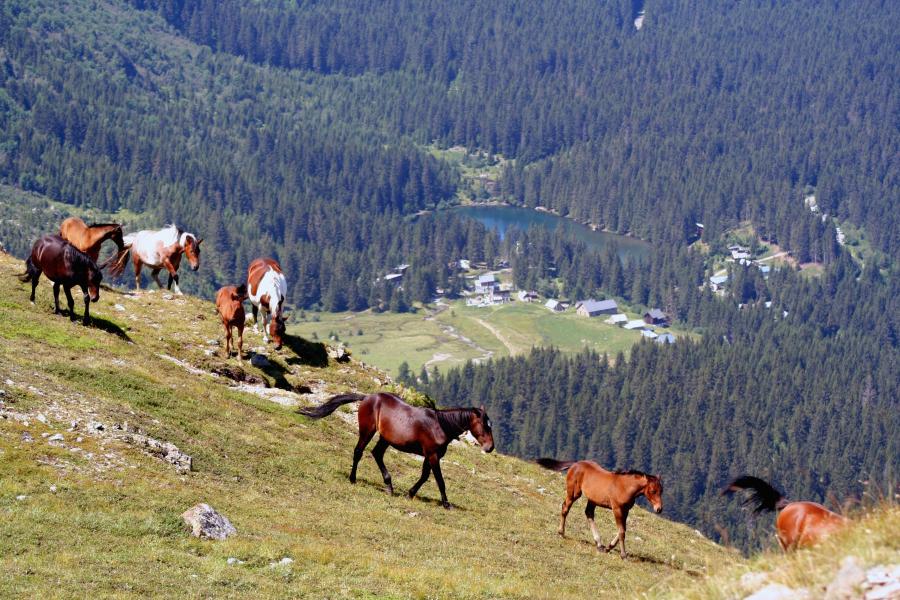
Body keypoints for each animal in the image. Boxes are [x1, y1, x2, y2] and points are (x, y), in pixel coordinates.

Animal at [298, 392, 495, 509]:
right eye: (484, 425)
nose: (490, 447)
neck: (440, 425)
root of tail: (367, 397)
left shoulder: (429, 456)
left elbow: (424, 476)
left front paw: (410, 493)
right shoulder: (433, 455)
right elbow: (439, 480)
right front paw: (446, 504)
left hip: (385, 439)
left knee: (376, 454)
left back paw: (389, 486)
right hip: (367, 431)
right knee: (358, 451)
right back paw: (353, 479)